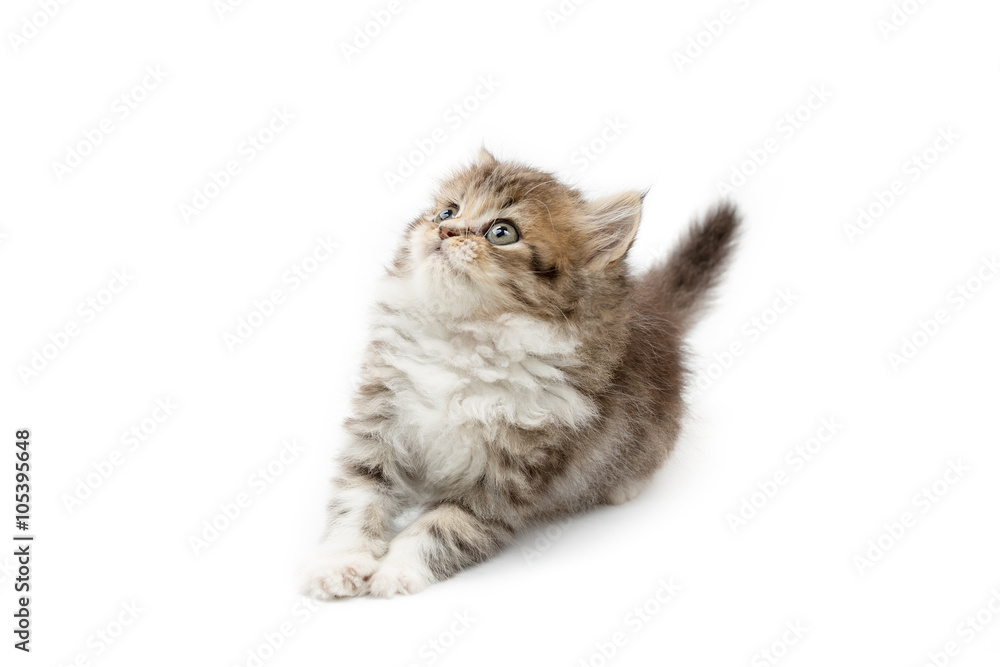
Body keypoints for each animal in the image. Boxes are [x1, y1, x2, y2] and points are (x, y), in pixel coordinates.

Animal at [296, 151, 736, 600]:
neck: (465, 339)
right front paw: (340, 562)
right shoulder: (381, 421)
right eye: (447, 211)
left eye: (502, 232)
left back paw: (623, 485)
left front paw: (397, 571)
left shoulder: (509, 473)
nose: (444, 229)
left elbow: (445, 526)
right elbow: (357, 496)